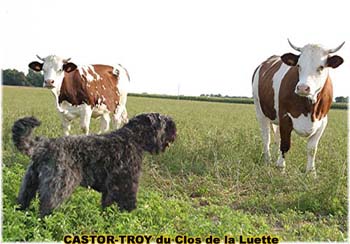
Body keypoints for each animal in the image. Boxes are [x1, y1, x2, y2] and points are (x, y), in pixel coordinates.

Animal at [12, 113, 176, 217]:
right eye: (165, 124)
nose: (175, 131)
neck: (134, 138)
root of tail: (44, 146)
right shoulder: (127, 183)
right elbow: (127, 202)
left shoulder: (110, 188)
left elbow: (107, 204)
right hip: (58, 188)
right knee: (46, 209)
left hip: (29, 184)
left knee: (22, 202)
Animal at [252, 39, 344, 174]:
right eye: (299, 66)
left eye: (321, 67)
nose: (302, 88)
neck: (310, 108)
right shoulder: (285, 117)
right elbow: (285, 145)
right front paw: (281, 168)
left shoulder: (323, 121)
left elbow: (312, 149)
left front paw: (311, 172)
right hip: (260, 110)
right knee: (266, 137)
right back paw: (268, 160)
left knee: (276, 138)